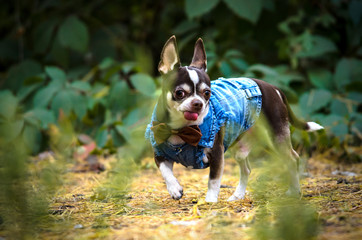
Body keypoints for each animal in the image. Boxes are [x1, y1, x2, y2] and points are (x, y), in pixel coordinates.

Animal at [146, 35, 324, 202]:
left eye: (207, 93)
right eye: (179, 93)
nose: (198, 103)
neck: (181, 129)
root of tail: (274, 88)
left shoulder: (217, 154)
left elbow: (213, 181)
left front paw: (210, 203)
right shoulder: (160, 154)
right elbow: (165, 172)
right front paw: (174, 189)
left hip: (275, 138)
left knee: (292, 159)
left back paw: (294, 191)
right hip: (245, 147)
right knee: (247, 169)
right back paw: (238, 195)